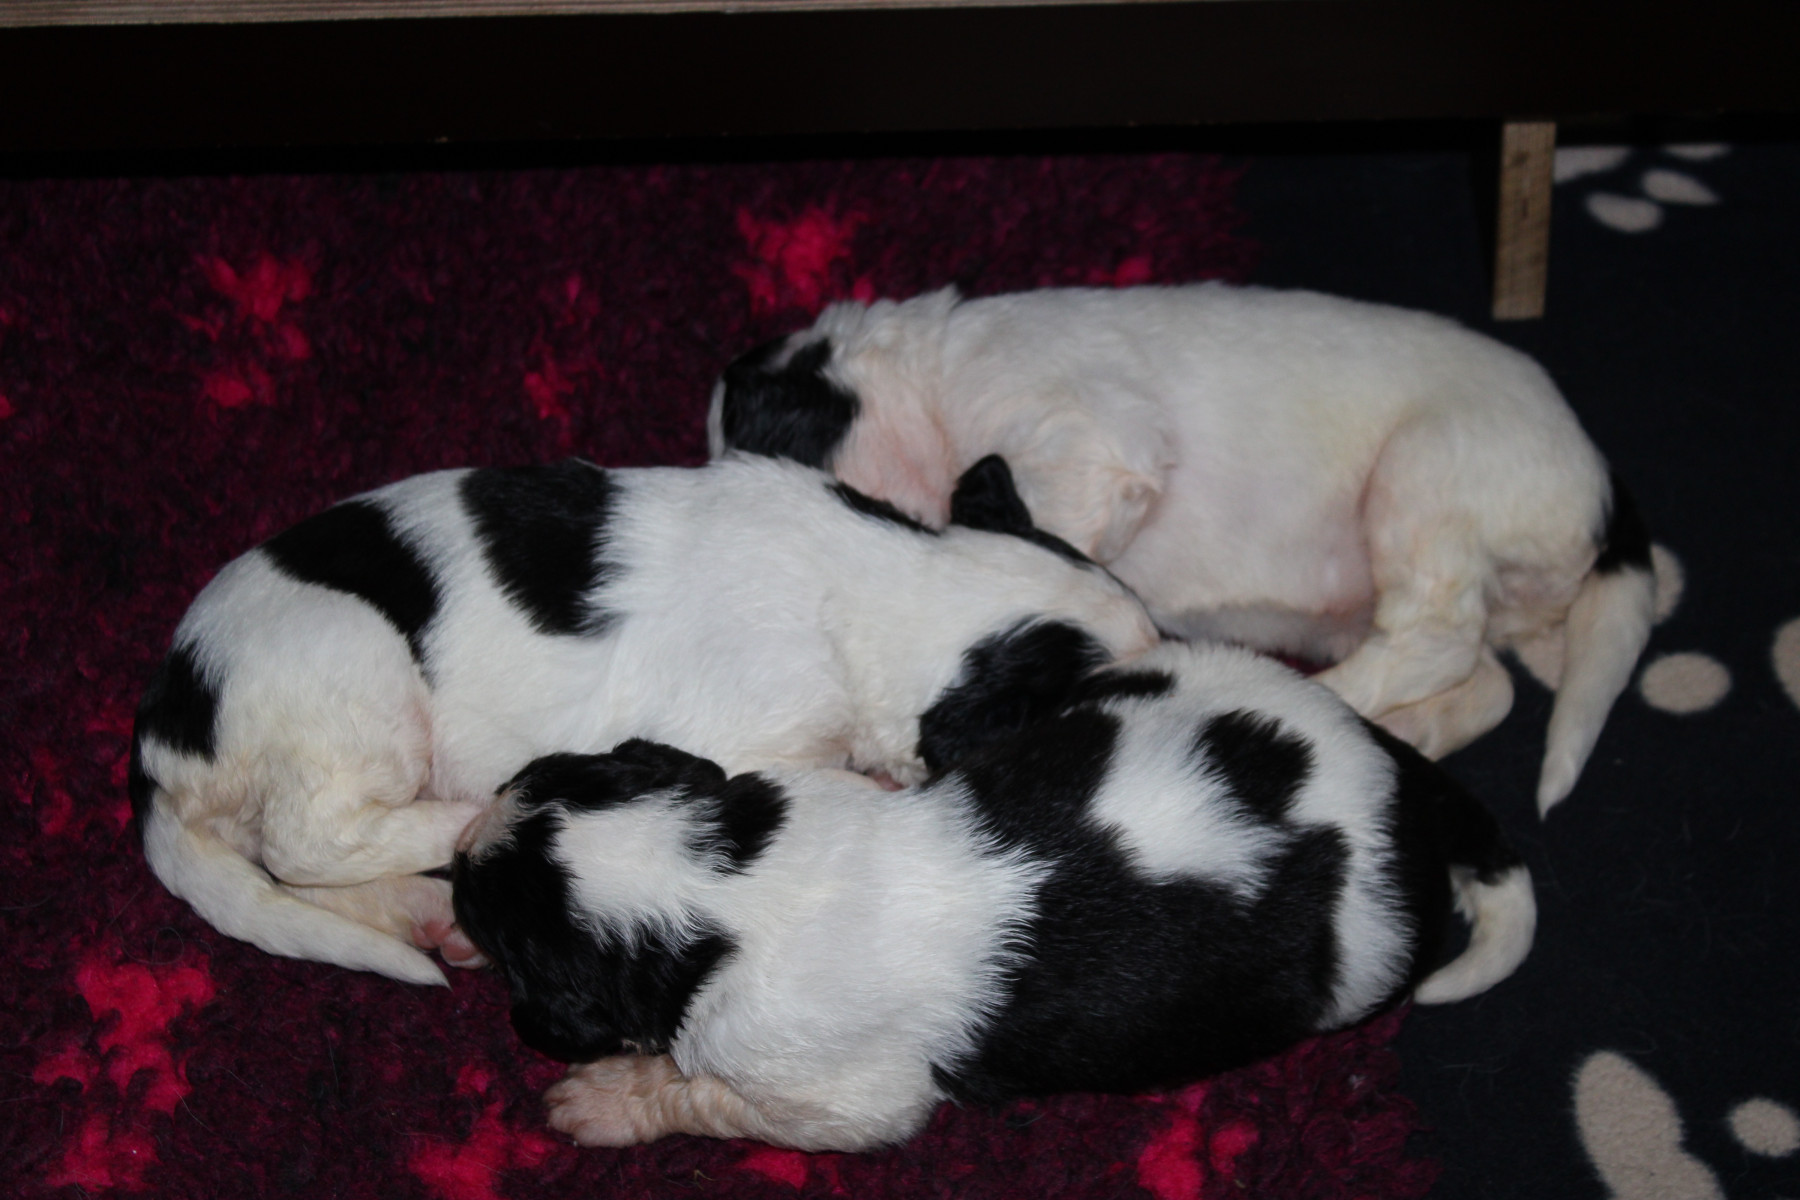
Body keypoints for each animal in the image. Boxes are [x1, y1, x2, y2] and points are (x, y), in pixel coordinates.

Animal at [130, 454, 1158, 986]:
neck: (892, 583)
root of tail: (165, 747)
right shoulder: (747, 735)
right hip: (352, 674)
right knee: (308, 839)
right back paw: (462, 819)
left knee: (290, 866)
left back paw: (427, 914)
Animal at [452, 638, 1536, 1152]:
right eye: (545, 770)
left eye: (514, 942)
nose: (459, 855)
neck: (727, 877)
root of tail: (1407, 792)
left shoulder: (843, 1098)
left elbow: (706, 1094)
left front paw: (602, 1100)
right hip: (1199, 671)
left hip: (1366, 967)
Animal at [709, 282, 1657, 812]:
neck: (929, 384)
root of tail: (1606, 490)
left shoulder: (1082, 437)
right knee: (1489, 682)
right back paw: (1408, 727)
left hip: (1432, 471)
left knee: (1439, 635)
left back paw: (1326, 695)